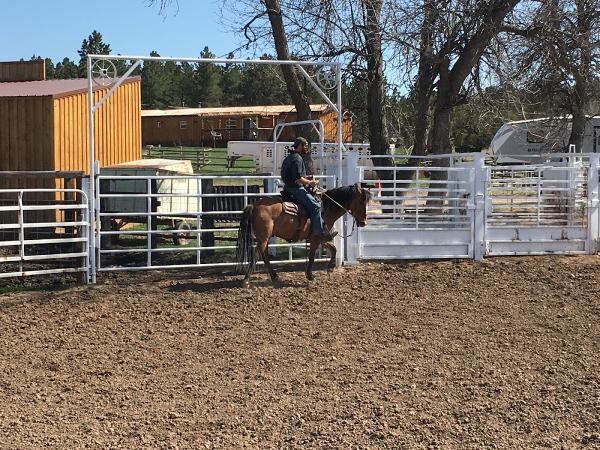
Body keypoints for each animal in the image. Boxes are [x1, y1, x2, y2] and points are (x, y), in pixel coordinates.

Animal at [236, 184, 370, 286]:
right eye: (361, 201)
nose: (363, 222)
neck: (325, 208)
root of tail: (254, 205)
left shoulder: (322, 238)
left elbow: (334, 248)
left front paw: (330, 268)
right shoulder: (316, 238)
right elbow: (312, 256)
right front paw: (310, 275)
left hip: (266, 237)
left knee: (264, 255)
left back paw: (274, 276)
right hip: (264, 237)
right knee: (256, 255)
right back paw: (246, 280)